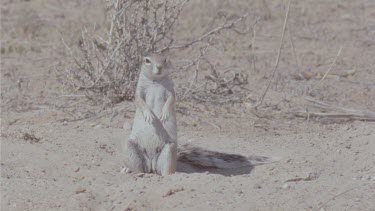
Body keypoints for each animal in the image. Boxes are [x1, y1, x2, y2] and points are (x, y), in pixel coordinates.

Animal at [123, 54, 280, 175]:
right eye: (147, 60)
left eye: (165, 59)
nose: (160, 66)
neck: (155, 81)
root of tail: (151, 164)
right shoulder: (139, 90)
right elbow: (140, 101)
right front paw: (149, 115)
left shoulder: (171, 91)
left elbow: (171, 100)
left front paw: (165, 114)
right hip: (130, 147)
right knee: (139, 169)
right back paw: (129, 170)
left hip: (168, 150)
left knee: (164, 171)